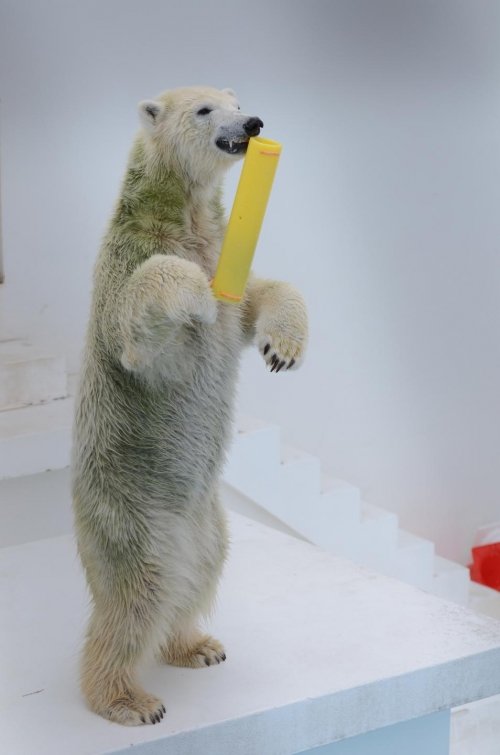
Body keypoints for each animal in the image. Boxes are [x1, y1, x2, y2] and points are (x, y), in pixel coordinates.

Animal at [72, 84, 306, 728]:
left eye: (238, 97)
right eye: (205, 109)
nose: (253, 124)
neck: (178, 216)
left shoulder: (224, 252)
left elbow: (260, 297)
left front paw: (284, 349)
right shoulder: (130, 261)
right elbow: (145, 319)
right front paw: (197, 292)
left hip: (207, 522)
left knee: (197, 575)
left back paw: (196, 644)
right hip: (131, 518)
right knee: (137, 598)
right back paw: (127, 699)